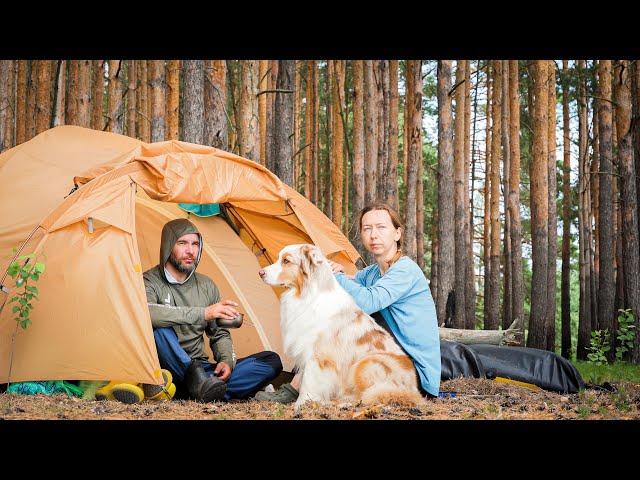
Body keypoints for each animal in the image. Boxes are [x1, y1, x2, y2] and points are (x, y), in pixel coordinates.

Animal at [258, 246, 422, 410]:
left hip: (366, 364)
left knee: (376, 395)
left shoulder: (317, 353)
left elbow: (308, 381)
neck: (307, 294)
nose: (260, 273)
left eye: (286, 261)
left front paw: (302, 404)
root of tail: (414, 388)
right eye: (278, 258)